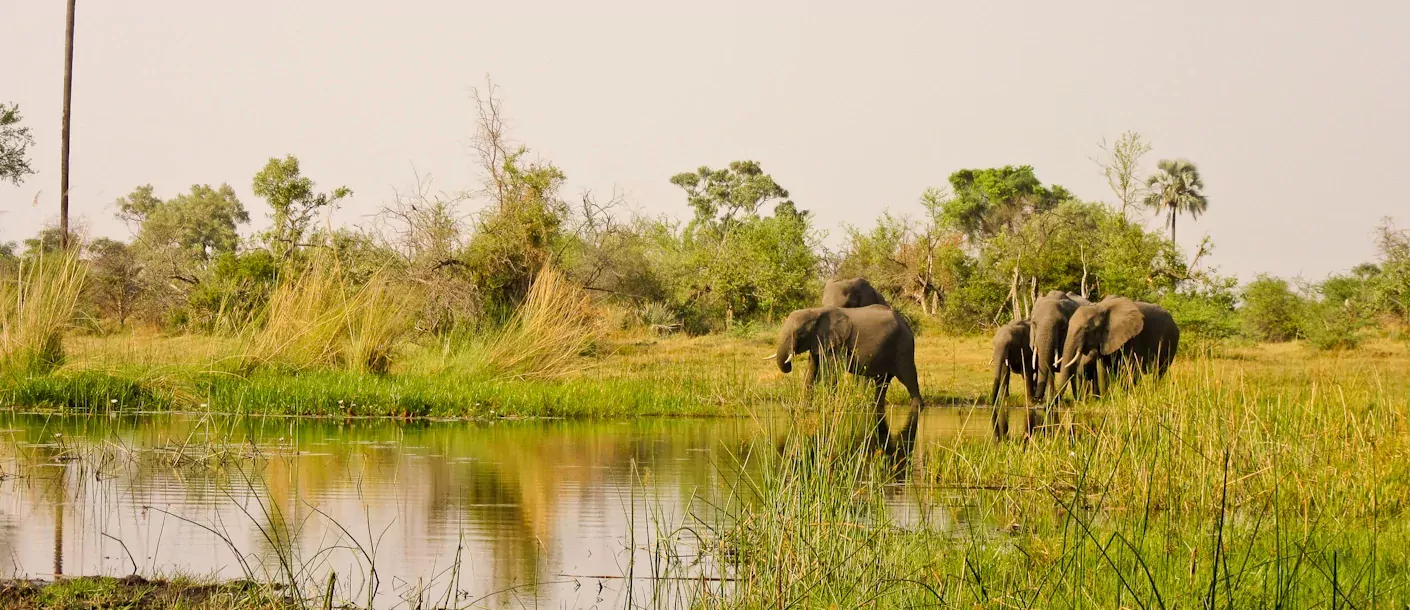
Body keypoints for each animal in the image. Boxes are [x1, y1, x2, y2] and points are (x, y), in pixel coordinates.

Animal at [772, 301, 924, 416]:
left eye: (800, 333)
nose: (789, 366)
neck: (816, 312)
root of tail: (906, 324)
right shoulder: (818, 341)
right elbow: (810, 372)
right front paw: (804, 408)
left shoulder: (839, 343)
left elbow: (832, 372)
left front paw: (829, 408)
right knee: (882, 381)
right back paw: (875, 408)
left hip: (903, 346)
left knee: (908, 377)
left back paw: (917, 408)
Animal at [1054, 293, 1184, 394]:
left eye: (1087, 329)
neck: (1099, 307)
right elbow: (1102, 371)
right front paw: (1104, 401)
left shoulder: (1132, 338)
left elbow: (1131, 369)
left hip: (1171, 343)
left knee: (1159, 372)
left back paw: (1154, 393)